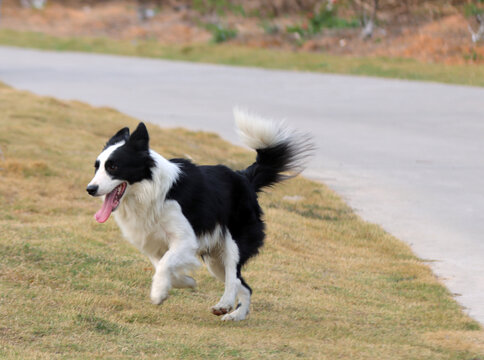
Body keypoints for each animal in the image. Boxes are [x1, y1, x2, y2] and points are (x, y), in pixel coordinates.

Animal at [86, 109, 314, 320]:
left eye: (113, 166)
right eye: (96, 167)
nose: (90, 189)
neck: (149, 191)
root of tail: (244, 177)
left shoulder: (185, 239)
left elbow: (165, 263)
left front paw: (158, 293)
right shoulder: (152, 243)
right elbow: (162, 265)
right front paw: (184, 282)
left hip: (234, 243)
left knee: (234, 277)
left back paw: (225, 304)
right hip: (215, 261)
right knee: (244, 285)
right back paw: (236, 315)